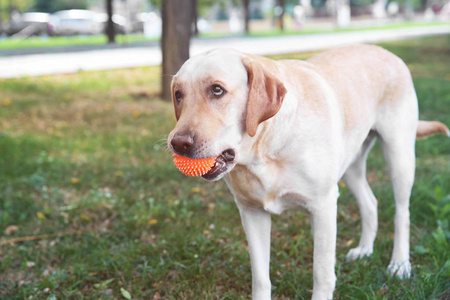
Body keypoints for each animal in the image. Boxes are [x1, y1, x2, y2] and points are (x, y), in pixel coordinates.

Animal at [167, 45, 448, 300]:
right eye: (178, 95)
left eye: (217, 90)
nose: (177, 144)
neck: (264, 149)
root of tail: (387, 52)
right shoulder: (251, 212)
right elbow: (261, 278)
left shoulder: (323, 206)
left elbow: (322, 273)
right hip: (350, 166)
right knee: (370, 202)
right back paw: (364, 249)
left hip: (399, 156)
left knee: (402, 213)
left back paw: (400, 264)